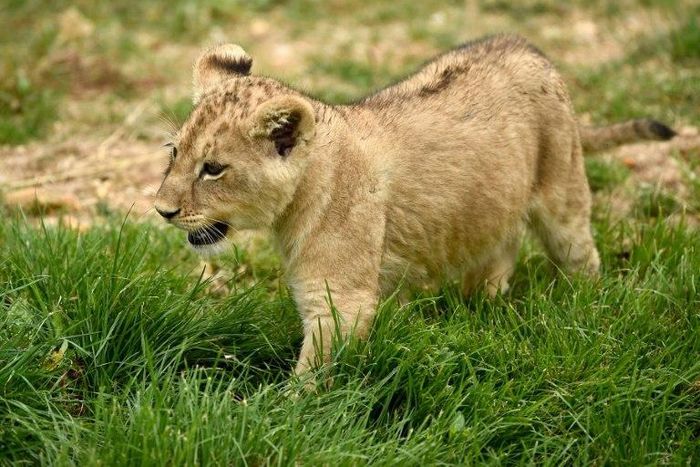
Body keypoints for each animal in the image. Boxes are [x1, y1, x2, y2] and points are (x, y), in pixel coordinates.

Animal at [154, 35, 675, 376]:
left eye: (213, 169)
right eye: (174, 152)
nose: (162, 210)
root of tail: (527, 47)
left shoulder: (340, 300)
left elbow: (312, 377)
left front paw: (278, 417)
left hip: (562, 187)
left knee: (579, 254)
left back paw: (588, 306)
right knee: (498, 249)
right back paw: (484, 306)